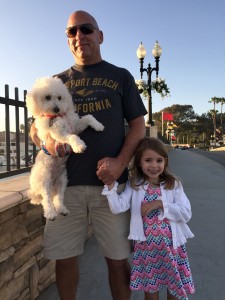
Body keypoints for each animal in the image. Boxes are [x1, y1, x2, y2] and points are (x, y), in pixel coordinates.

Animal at [26, 77, 104, 220]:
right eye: (47, 97)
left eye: (60, 97)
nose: (57, 109)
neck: (57, 117)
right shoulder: (58, 134)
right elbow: (72, 137)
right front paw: (79, 146)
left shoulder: (75, 126)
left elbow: (88, 117)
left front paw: (98, 125)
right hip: (44, 179)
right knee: (46, 199)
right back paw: (51, 213)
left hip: (62, 181)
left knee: (58, 198)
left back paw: (62, 210)